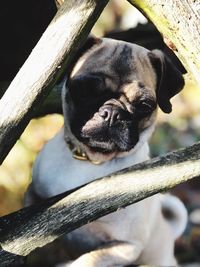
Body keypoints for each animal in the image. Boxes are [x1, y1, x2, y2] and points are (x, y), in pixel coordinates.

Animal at [25, 36, 188, 266]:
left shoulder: (126, 247)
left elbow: (86, 261)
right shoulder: (32, 196)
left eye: (144, 105)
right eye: (85, 89)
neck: (93, 160)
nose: (112, 113)